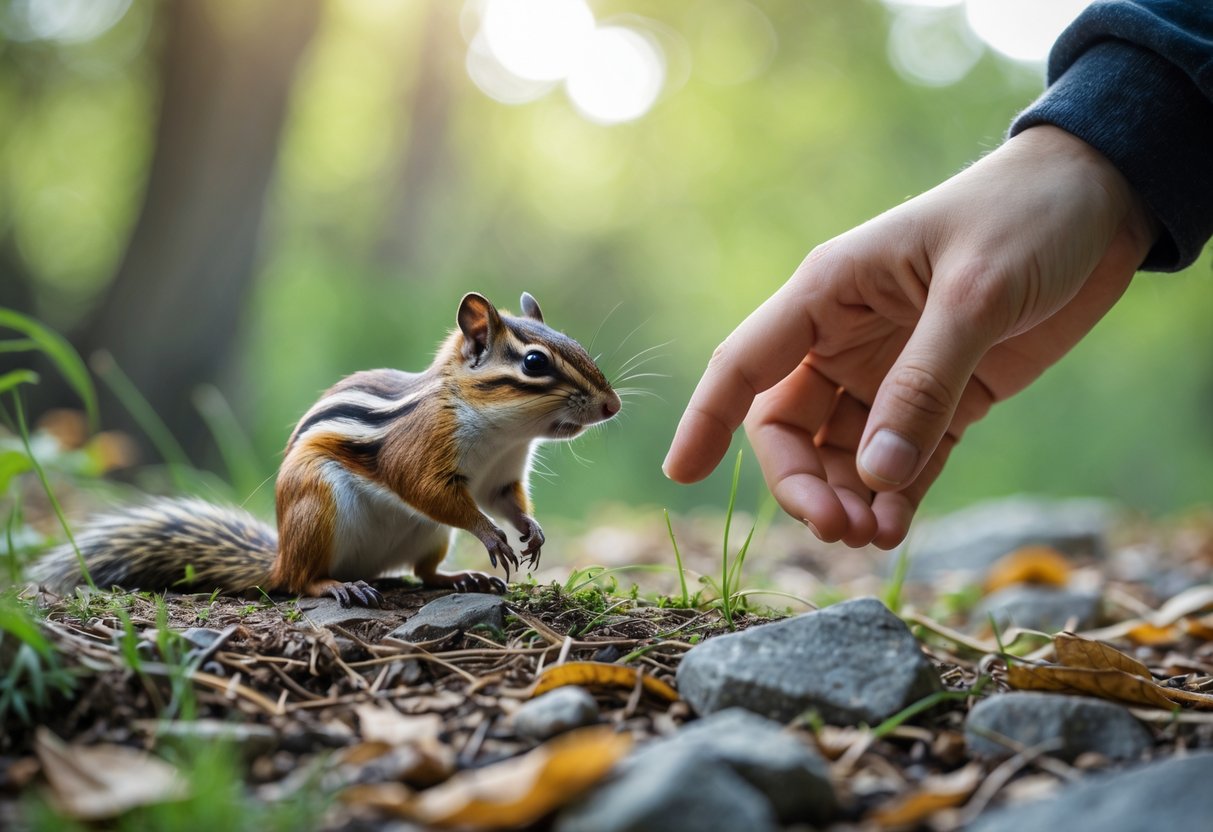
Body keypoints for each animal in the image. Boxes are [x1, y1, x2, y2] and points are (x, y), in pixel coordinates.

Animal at [31, 292, 621, 607]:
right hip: (319, 507)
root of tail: (278, 557)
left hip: (430, 537)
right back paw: (338, 587)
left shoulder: (501, 477)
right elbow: (427, 489)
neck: (505, 434)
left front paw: (529, 531)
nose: (612, 405)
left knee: (423, 574)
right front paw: (492, 535)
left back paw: (459, 577)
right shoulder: (421, 450)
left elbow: (509, 502)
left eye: (574, 343)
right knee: (299, 583)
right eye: (535, 363)